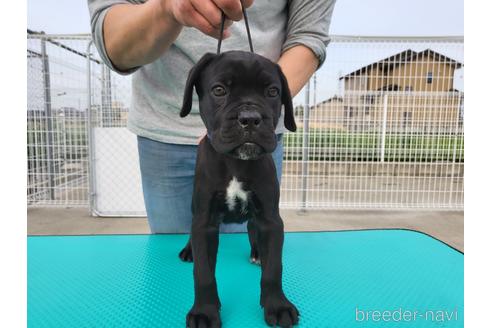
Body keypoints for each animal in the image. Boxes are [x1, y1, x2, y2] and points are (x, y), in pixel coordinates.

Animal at [179, 50, 298, 326]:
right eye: (219, 90)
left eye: (272, 92)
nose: (250, 119)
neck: (236, 162)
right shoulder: (204, 222)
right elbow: (203, 273)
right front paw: (204, 311)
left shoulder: (270, 220)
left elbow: (274, 268)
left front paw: (277, 305)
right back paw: (188, 250)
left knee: (254, 233)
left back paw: (258, 254)